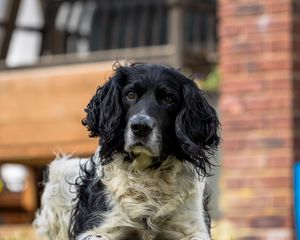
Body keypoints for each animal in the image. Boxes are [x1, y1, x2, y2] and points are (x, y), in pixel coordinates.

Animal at [33, 62, 220, 240]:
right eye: (131, 95)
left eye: (169, 99)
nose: (140, 127)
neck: (147, 173)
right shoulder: (98, 228)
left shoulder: (193, 229)